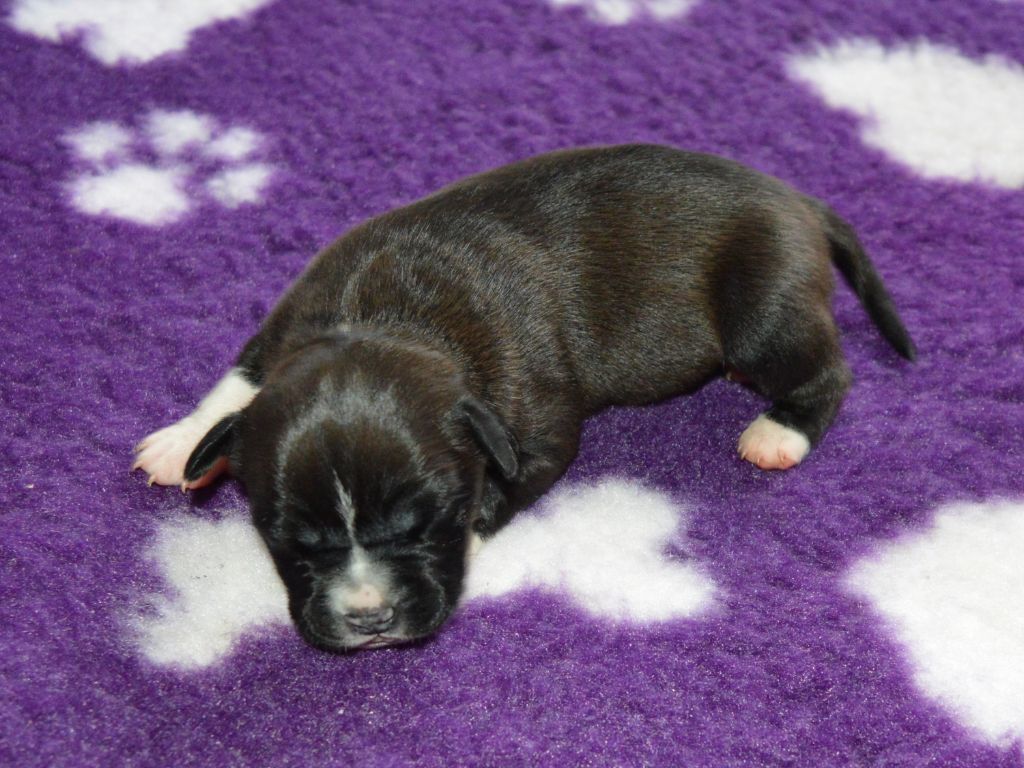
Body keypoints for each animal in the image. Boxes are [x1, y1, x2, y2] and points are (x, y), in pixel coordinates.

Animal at [133, 144, 915, 652]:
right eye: (288, 539)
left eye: (429, 524)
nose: (369, 618)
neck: (379, 316)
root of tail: (796, 199)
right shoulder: (279, 332)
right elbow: (237, 383)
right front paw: (184, 442)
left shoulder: (538, 432)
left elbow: (499, 489)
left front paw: (475, 532)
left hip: (763, 311)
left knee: (829, 372)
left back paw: (779, 431)